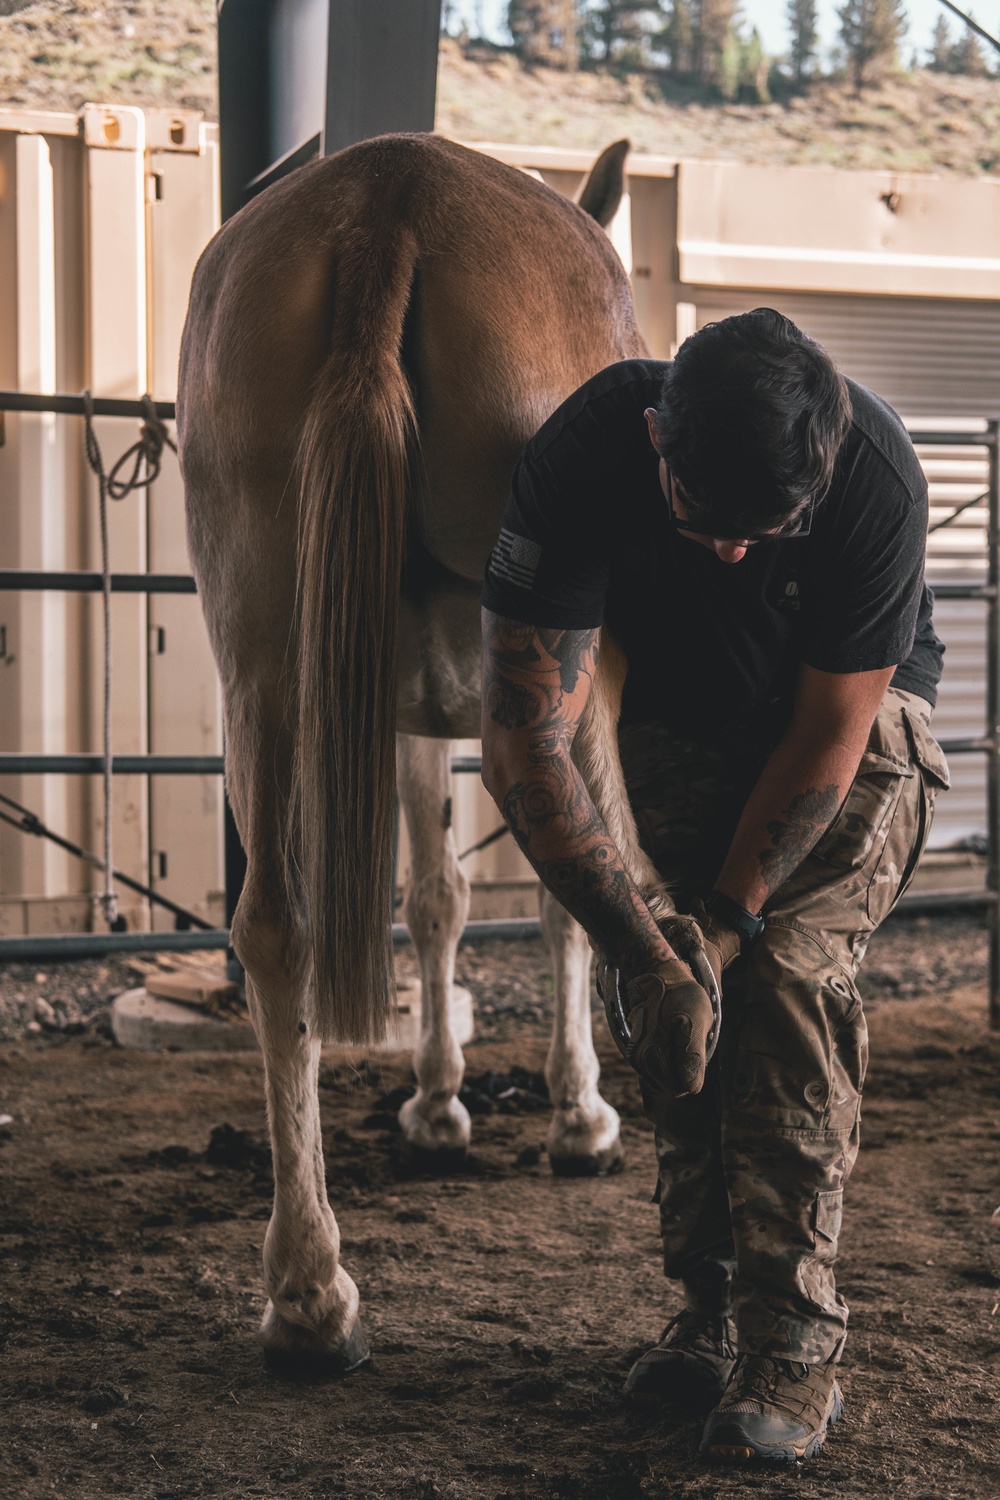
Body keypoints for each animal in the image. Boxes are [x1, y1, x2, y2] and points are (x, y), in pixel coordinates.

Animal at [176, 138, 689, 1374]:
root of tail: (390, 198)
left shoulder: (404, 720)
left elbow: (436, 899)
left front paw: (438, 1104)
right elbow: (561, 899)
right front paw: (577, 1116)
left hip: (264, 666)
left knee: (277, 927)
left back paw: (309, 1290)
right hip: (562, 672)